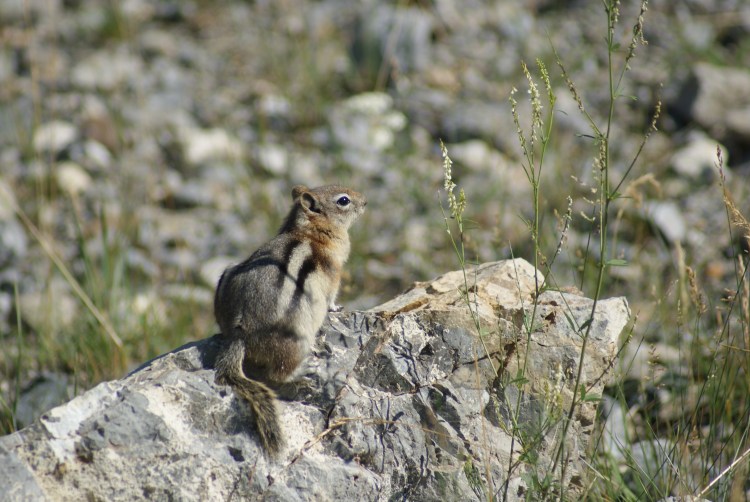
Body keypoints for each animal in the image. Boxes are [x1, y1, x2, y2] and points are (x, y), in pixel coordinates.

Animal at [213, 184, 366, 457]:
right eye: (344, 201)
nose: (366, 202)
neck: (308, 230)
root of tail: (239, 333)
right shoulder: (334, 275)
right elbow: (331, 299)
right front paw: (337, 308)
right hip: (297, 340)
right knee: (278, 374)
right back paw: (305, 371)